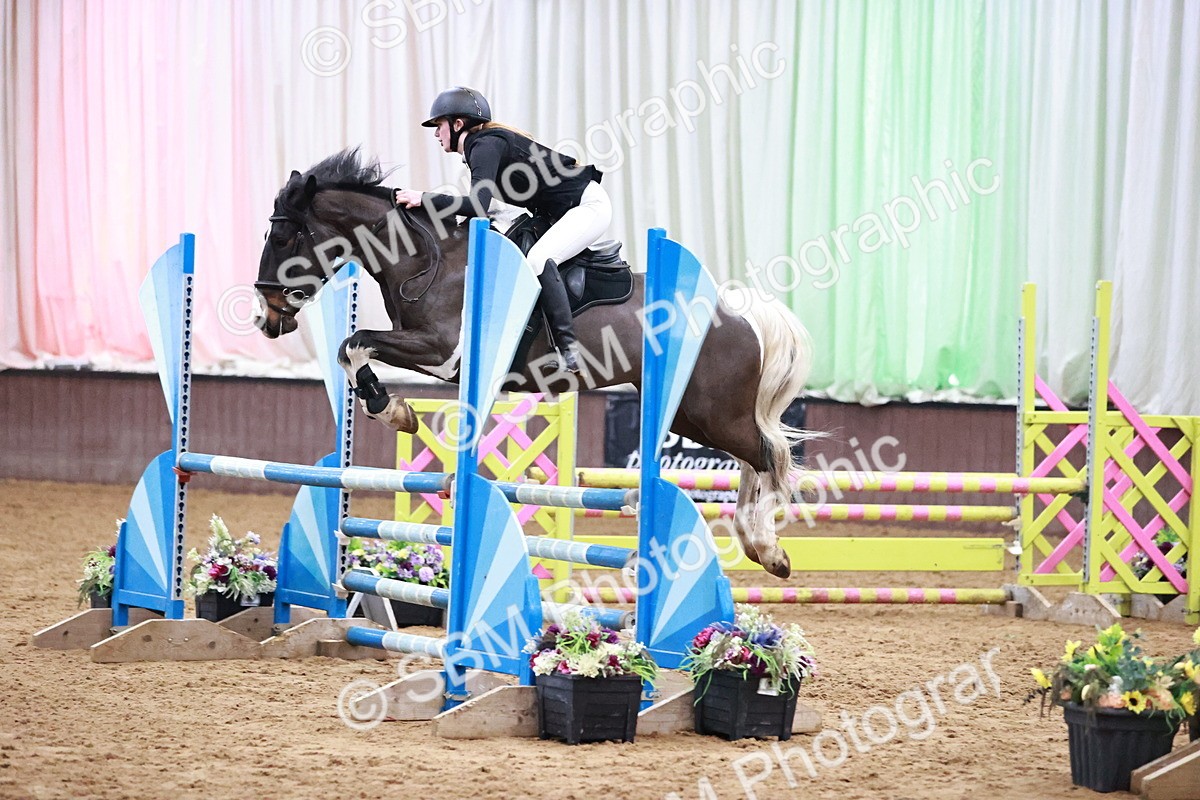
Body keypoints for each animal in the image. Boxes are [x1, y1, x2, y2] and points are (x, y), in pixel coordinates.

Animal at [253, 149, 818, 579]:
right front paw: (395, 410)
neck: (422, 257)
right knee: (755, 457)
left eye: (281, 237)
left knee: (768, 456)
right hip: (689, 414)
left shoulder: (443, 351)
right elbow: (352, 348)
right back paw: (754, 543)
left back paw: (769, 548)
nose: (267, 317)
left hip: (708, 411)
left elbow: (356, 343)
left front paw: (393, 410)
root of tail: (736, 312)